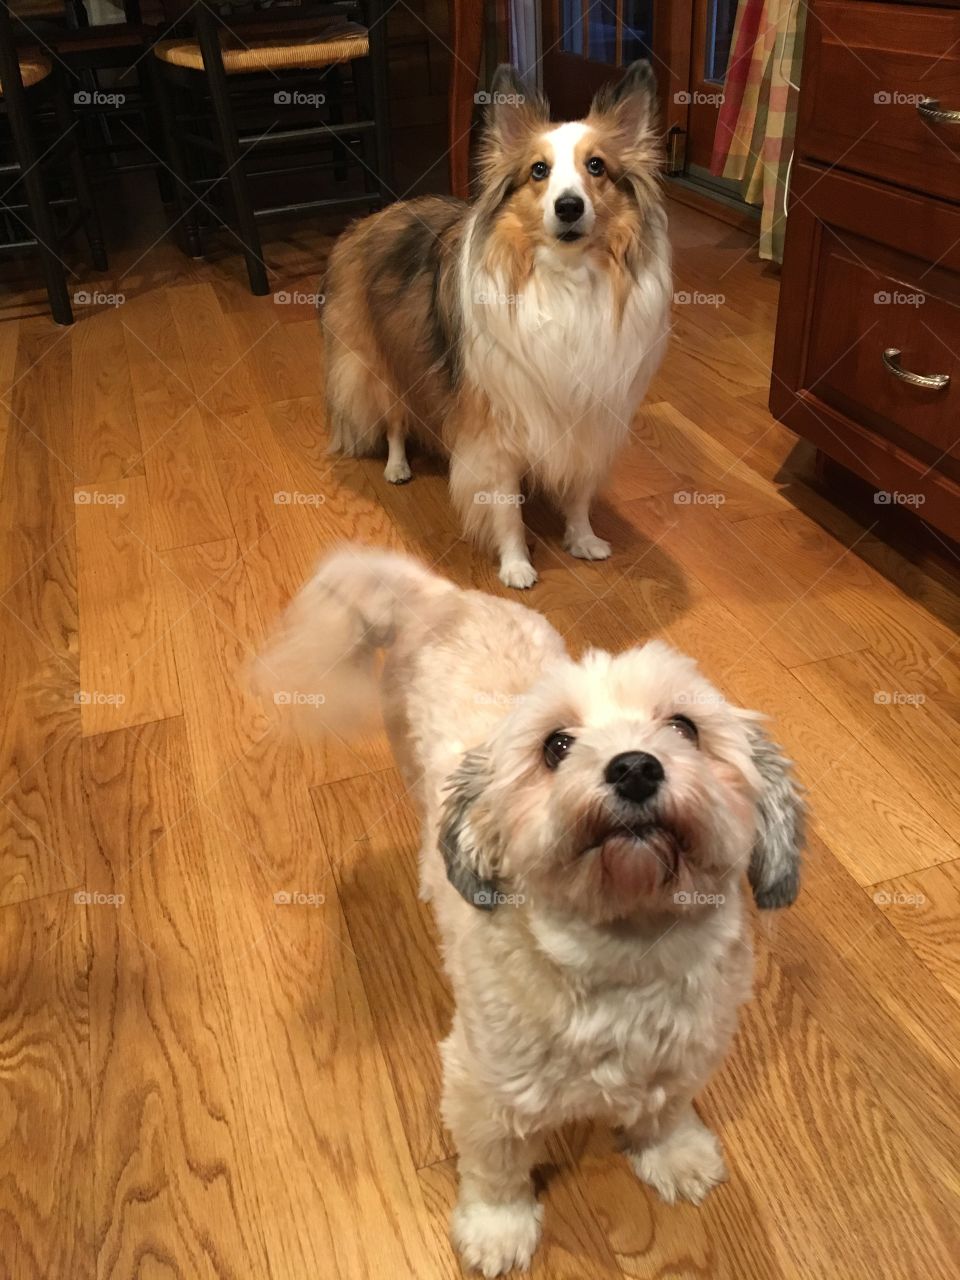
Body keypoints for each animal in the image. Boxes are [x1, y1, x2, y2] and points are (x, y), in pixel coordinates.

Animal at [261, 545, 803, 1274]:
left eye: (684, 728)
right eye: (556, 747)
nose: (636, 767)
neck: (626, 950)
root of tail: (446, 597)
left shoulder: (689, 1050)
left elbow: (665, 1108)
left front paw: (673, 1153)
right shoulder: (483, 1088)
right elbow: (496, 1169)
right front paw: (499, 1230)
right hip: (408, 756)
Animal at [323, 62, 670, 586]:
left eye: (597, 167)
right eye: (538, 171)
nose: (569, 207)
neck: (564, 280)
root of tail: (379, 214)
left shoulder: (587, 418)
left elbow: (579, 492)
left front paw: (582, 538)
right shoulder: (495, 430)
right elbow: (505, 507)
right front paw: (516, 564)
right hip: (386, 361)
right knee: (395, 420)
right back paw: (398, 467)